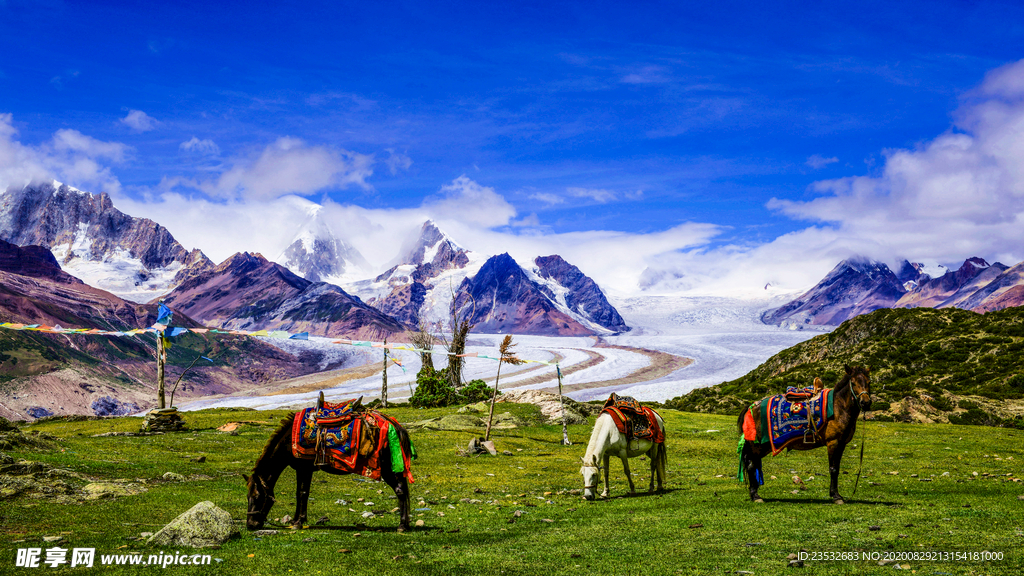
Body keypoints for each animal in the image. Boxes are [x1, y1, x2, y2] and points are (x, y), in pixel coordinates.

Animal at [243, 412, 411, 528]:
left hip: (388, 467)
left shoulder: (304, 467)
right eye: (247, 497)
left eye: (257, 497)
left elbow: (302, 493)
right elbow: (300, 493)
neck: (288, 440)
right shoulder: (302, 468)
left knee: (400, 490)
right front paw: (296, 520)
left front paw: (298, 522)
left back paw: (402, 526)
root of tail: (395, 427)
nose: (250, 525)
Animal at [737, 362, 872, 502]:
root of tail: (751, 407)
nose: (865, 402)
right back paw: (755, 496)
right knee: (751, 464)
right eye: (853, 382)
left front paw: (835, 494)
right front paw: (836, 496)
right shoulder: (833, 443)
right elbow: (833, 469)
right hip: (757, 445)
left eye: (869, 382)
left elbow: (837, 469)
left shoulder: (841, 444)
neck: (838, 407)